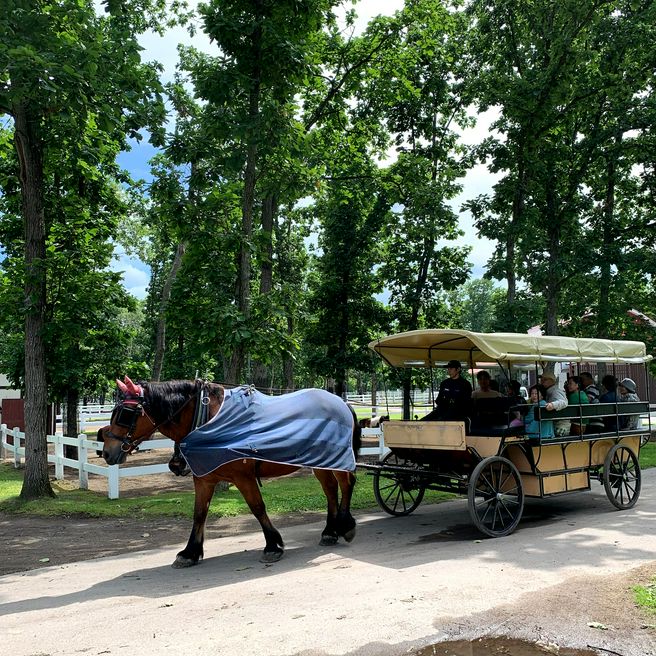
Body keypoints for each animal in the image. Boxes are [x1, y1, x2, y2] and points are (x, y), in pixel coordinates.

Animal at [101, 376, 364, 568]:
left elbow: (257, 508)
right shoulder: (204, 479)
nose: (106, 452)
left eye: (125, 414)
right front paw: (190, 552)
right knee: (330, 489)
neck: (208, 420)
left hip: (336, 459)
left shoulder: (243, 477)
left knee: (346, 484)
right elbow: (199, 514)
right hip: (320, 461)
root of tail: (341, 402)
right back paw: (330, 532)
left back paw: (346, 525)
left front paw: (273, 545)